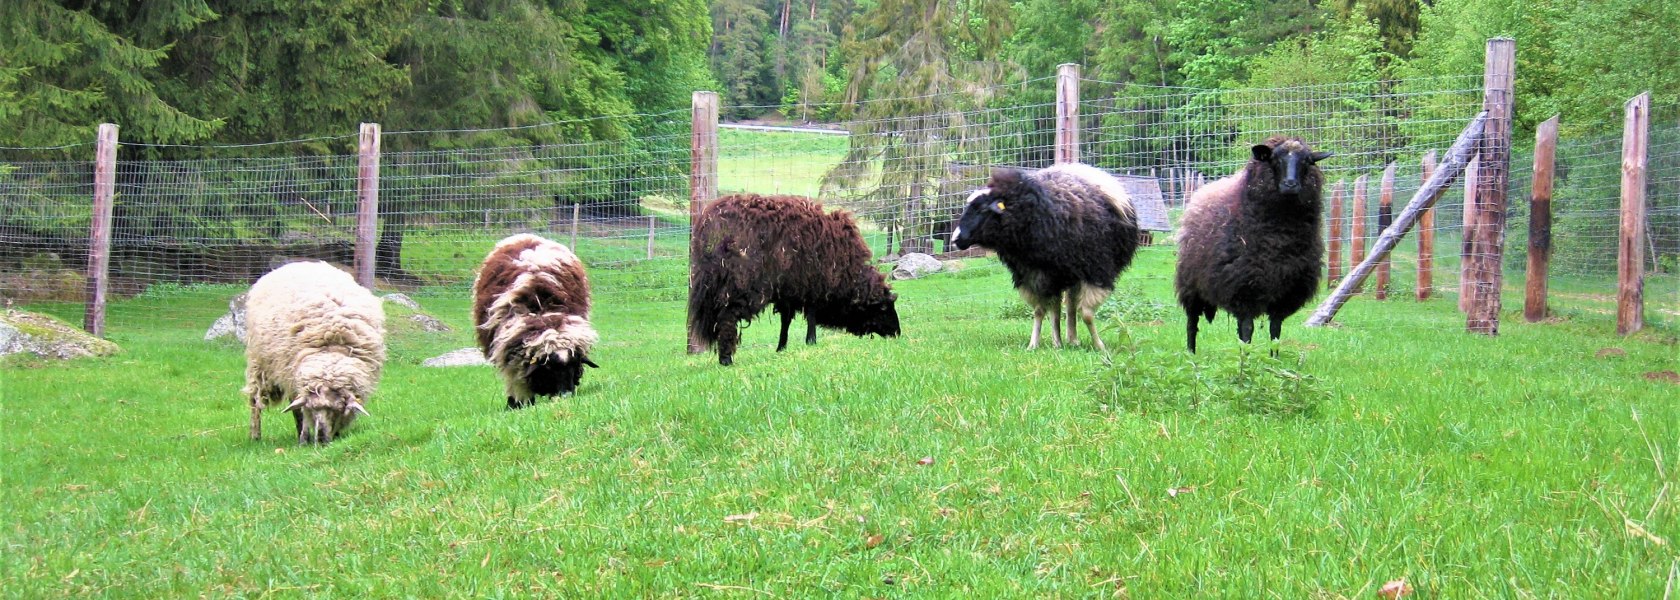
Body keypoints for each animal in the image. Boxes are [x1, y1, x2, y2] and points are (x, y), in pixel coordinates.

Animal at [243, 258, 386, 440]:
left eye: (338, 408)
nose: (322, 438)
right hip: (259, 362)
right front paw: (304, 438)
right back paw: (256, 435)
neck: (332, 346)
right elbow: (299, 411)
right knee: (256, 400)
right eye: (312, 409)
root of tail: (299, 263)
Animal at [473, 231, 598, 406]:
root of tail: (526, 235)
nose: (565, 395)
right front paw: (517, 403)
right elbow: (515, 379)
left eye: (574, 364)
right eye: (549, 367)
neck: (541, 311)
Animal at [954, 163, 1149, 351]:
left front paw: (1100, 346)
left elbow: (1086, 314)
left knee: (1070, 303)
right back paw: (1059, 342)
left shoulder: (1096, 271)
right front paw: (1033, 344)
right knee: (1058, 306)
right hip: (1057, 275)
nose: (955, 239)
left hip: (1073, 272)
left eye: (982, 209)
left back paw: (1072, 339)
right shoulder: (1034, 274)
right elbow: (1040, 310)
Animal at [1176, 135, 1330, 351]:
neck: (1281, 239)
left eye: (1307, 161)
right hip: (1191, 284)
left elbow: (1275, 333)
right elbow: (1247, 331)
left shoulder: (1285, 294)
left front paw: (1273, 359)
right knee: (1192, 323)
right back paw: (1191, 353)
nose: (1290, 184)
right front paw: (1245, 358)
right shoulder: (1244, 289)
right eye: (1274, 159)